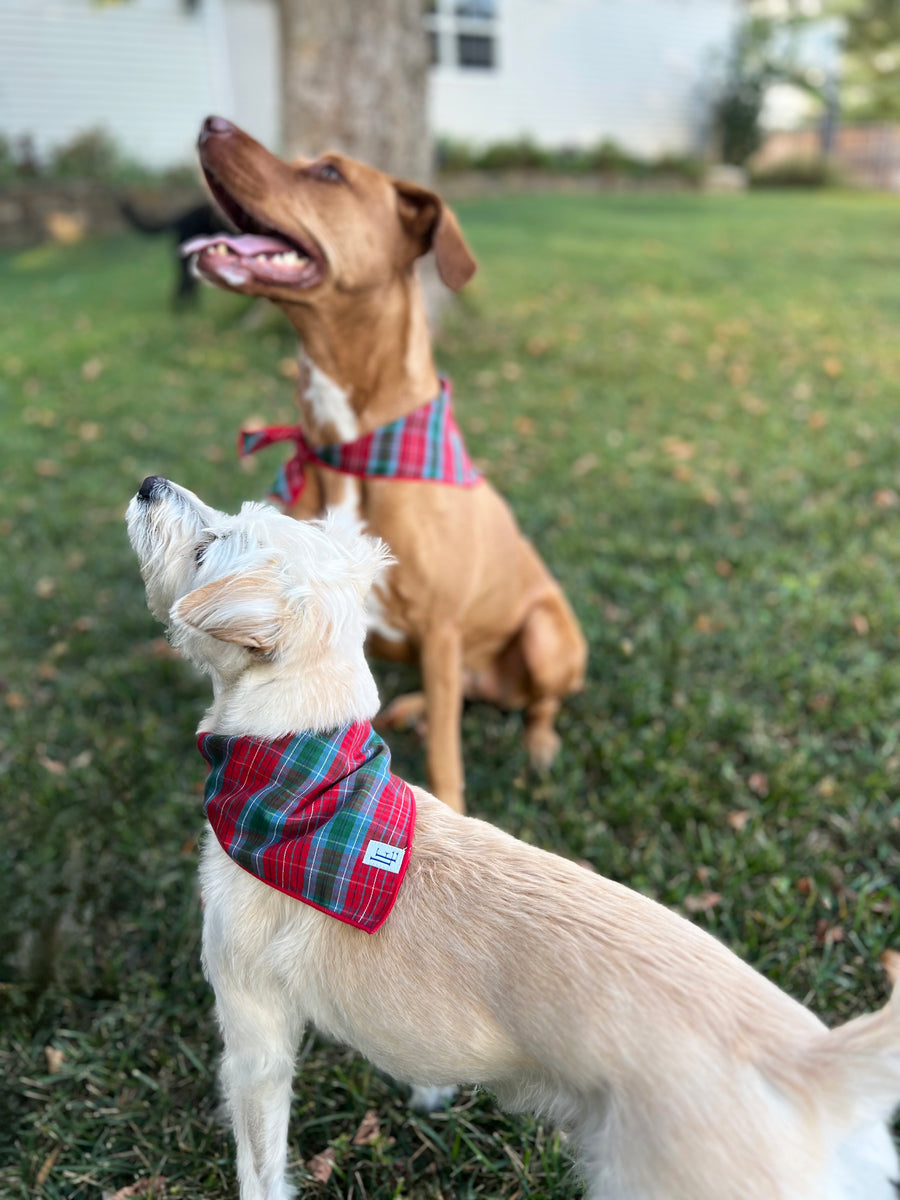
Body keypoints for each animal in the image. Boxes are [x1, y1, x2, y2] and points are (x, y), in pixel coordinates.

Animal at [128, 475, 900, 1200]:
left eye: (207, 549)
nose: (148, 485)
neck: (304, 779)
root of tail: (808, 1066)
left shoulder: (253, 1032)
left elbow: (259, 1163)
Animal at [183, 117, 592, 811]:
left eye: (329, 173)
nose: (212, 123)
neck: (349, 445)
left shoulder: (441, 623)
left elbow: (447, 757)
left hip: (543, 636)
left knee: (536, 703)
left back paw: (538, 743)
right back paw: (416, 706)